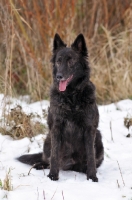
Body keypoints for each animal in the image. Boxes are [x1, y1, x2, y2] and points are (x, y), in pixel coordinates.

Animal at [17, 33, 104, 182]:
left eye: (71, 61)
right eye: (58, 61)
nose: (59, 76)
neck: (71, 97)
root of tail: (71, 164)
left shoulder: (89, 129)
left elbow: (91, 156)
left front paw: (92, 177)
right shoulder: (56, 128)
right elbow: (55, 156)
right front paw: (53, 175)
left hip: (98, 137)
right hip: (48, 139)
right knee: (46, 159)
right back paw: (40, 166)